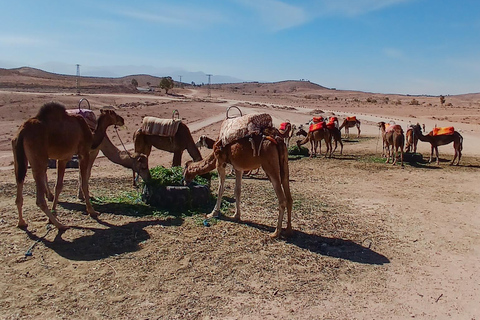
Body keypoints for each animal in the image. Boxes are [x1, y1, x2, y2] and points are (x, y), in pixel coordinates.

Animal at [13, 102, 125, 230]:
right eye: (113, 113)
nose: (122, 120)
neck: (91, 136)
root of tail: (22, 132)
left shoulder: (63, 158)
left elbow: (58, 186)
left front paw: (54, 212)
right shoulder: (83, 153)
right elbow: (84, 182)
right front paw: (92, 211)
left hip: (19, 157)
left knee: (19, 181)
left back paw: (22, 222)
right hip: (38, 157)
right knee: (39, 197)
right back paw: (60, 225)